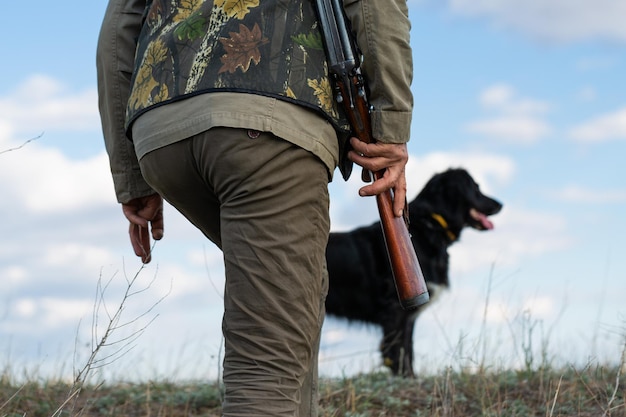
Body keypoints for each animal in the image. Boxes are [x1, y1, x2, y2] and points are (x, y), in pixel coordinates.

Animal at [324, 167, 500, 376]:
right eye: (475, 187)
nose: (500, 204)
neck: (429, 227)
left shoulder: (408, 318)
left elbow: (408, 349)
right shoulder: (394, 310)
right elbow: (398, 351)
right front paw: (405, 377)